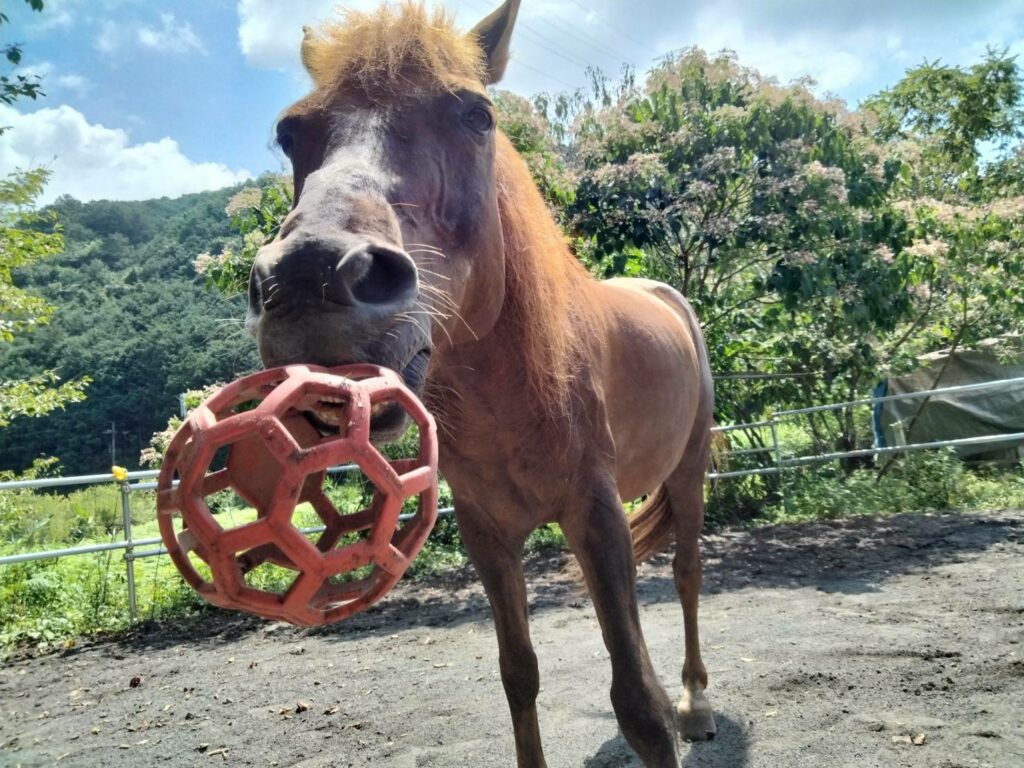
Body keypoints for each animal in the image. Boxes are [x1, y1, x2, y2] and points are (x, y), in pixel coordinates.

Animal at [245, 2, 716, 765]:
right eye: (290, 134)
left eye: (477, 116)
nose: (308, 278)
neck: (512, 401)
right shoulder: (486, 535)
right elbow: (518, 673)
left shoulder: (595, 514)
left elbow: (638, 703)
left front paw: (666, 711)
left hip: (690, 471)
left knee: (688, 575)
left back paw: (697, 702)